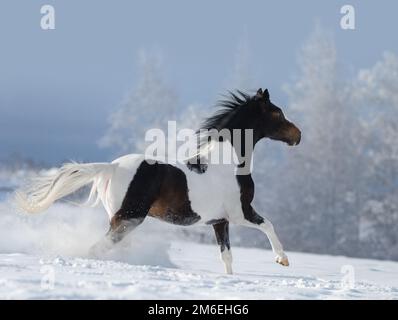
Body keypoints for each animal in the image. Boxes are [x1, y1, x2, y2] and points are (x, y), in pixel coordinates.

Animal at [16, 88, 302, 276]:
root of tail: (112, 166)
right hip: (130, 217)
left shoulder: (219, 221)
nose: (298, 135)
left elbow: (227, 257)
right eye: (277, 114)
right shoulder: (240, 212)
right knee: (98, 247)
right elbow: (268, 225)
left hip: (122, 219)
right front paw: (282, 260)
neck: (229, 162)